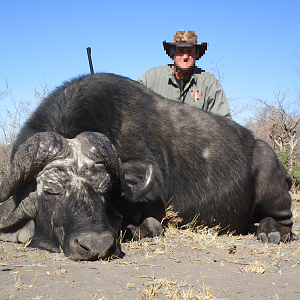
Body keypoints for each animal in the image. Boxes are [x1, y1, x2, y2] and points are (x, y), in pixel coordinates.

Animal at [0, 73, 296, 260]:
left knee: (285, 219)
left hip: (272, 185)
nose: (95, 245)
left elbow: (148, 224)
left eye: (105, 190)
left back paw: (271, 232)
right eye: (51, 189)